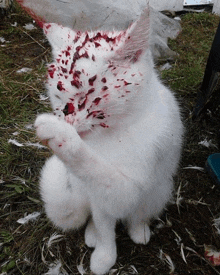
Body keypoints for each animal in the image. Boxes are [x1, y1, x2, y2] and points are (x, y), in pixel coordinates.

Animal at [34, 7, 182, 275]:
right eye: (58, 97)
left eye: (86, 97)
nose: (69, 121)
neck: (115, 132)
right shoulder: (101, 198)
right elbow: (105, 227)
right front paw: (105, 255)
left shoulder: (130, 189)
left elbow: (96, 167)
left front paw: (60, 134)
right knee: (98, 217)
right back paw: (95, 236)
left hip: (159, 190)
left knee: (139, 212)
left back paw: (139, 229)